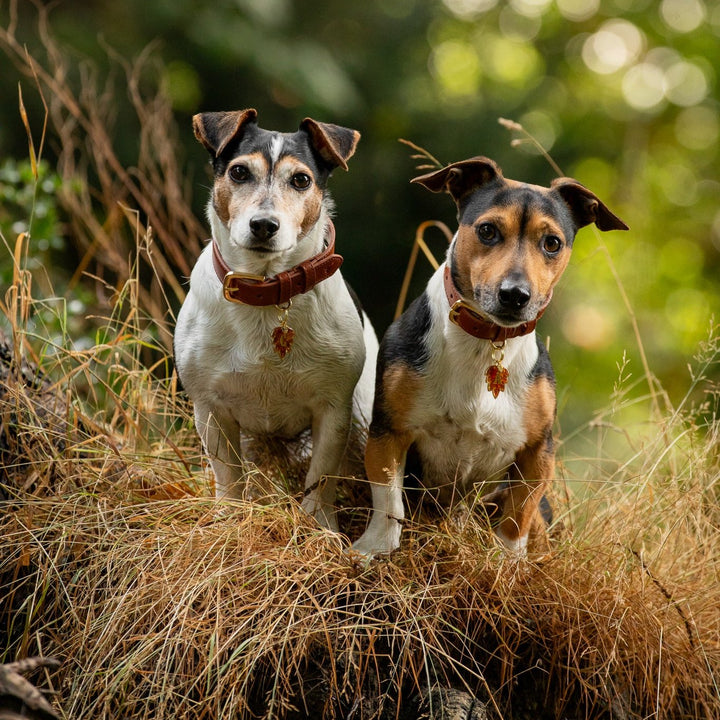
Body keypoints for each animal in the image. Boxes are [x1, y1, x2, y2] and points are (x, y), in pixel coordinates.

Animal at [176, 108, 376, 528]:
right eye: (238, 172)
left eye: (301, 180)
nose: (264, 225)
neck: (266, 291)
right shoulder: (211, 409)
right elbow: (229, 477)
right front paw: (230, 520)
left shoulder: (332, 411)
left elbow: (321, 478)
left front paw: (319, 527)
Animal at [352, 158, 628, 556]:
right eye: (487, 230)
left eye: (552, 243)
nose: (515, 294)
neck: (486, 342)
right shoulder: (389, 433)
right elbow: (389, 501)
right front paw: (376, 549)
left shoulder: (537, 454)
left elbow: (518, 518)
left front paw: (507, 562)